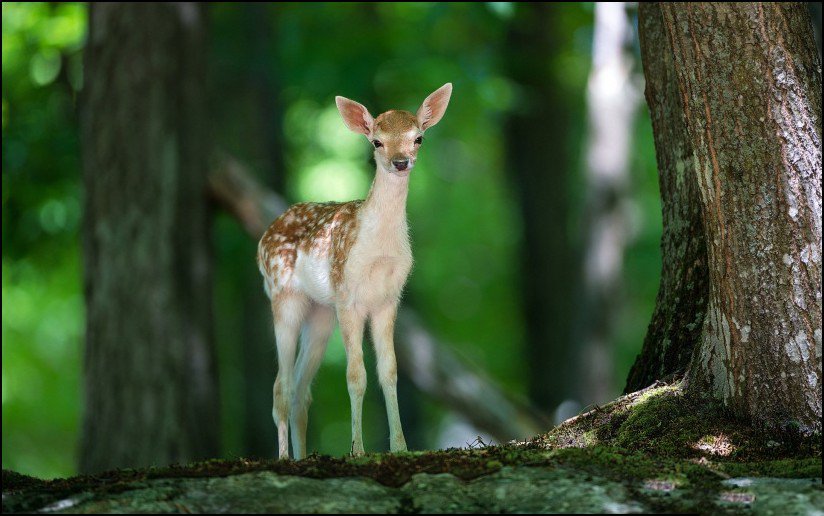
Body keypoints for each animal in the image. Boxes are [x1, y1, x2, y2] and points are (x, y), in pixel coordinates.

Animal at [256, 84, 450, 460]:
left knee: (301, 390)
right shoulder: (348, 296)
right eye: (376, 141)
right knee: (280, 386)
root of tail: (264, 236)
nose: (400, 161)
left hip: (320, 312)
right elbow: (356, 375)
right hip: (283, 296)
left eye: (418, 138)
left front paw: (401, 447)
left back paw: (302, 455)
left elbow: (389, 372)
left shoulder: (389, 299)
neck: (378, 249)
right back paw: (284, 457)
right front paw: (357, 450)